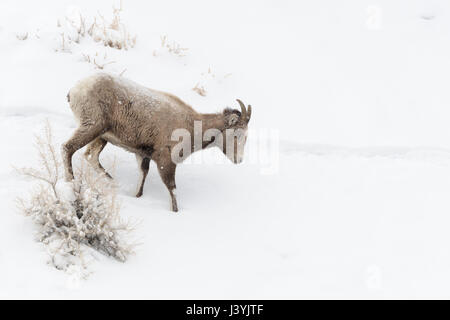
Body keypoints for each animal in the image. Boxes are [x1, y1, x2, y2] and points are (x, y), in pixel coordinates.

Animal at [62, 73, 253, 211]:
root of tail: (75, 90)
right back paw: (71, 182)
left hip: (101, 136)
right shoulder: (166, 161)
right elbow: (172, 189)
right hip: (92, 127)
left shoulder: (143, 155)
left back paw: (113, 182)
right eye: (237, 134)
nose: (239, 160)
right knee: (68, 148)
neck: (192, 126)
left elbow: (142, 181)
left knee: (91, 156)